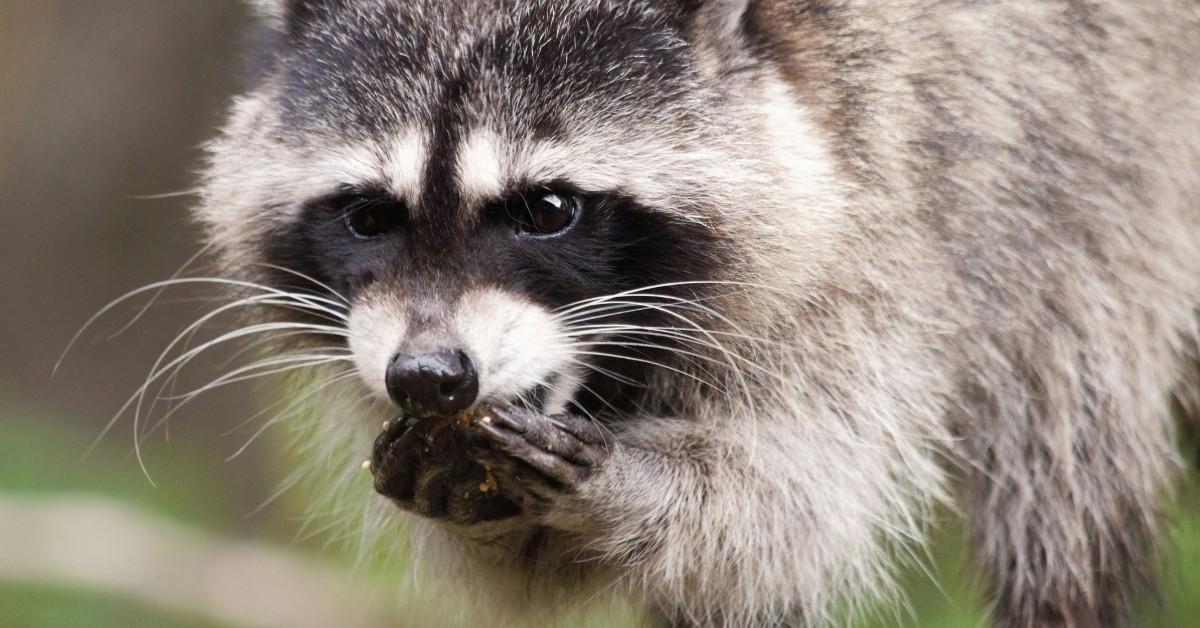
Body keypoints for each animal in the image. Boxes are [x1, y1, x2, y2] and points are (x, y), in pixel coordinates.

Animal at [184, 1, 1200, 628]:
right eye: (367, 215)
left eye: (547, 210)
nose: (430, 379)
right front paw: (487, 513)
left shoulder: (895, 198)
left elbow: (794, 502)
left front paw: (630, 484)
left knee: (1065, 467)